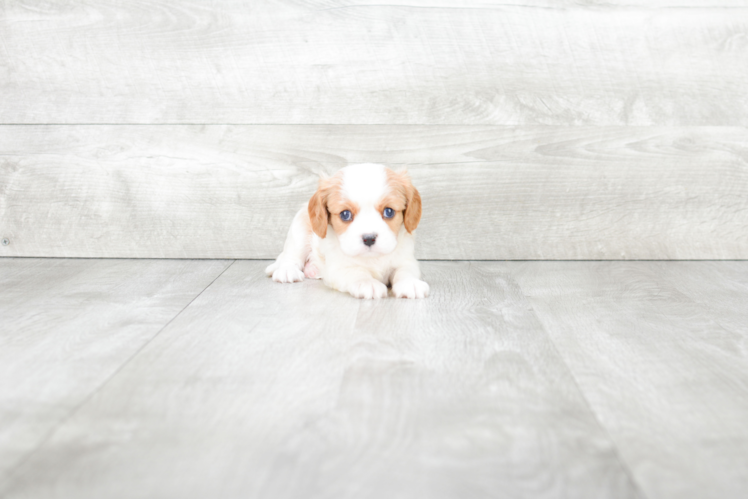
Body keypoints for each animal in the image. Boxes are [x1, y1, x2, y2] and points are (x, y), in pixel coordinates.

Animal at [266, 163, 430, 300]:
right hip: (299, 231)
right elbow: (356, 272)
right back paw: (287, 271)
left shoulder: (406, 260)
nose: (369, 238)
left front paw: (410, 283)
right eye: (345, 214)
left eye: (389, 212)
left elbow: (405, 271)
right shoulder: (339, 268)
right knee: (292, 256)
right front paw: (367, 283)